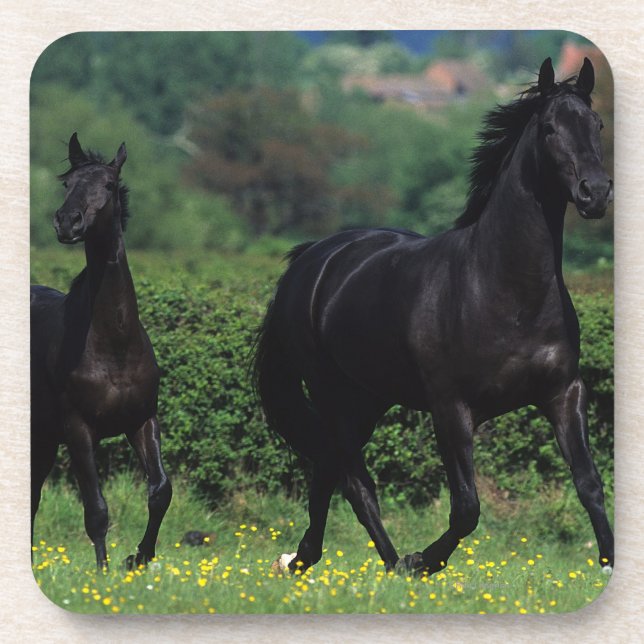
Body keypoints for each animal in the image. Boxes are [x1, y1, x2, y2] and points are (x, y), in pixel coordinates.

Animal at [31, 133, 172, 569]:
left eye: (108, 185)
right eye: (67, 183)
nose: (67, 222)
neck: (114, 347)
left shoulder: (142, 420)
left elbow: (161, 491)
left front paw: (137, 558)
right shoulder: (78, 430)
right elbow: (96, 509)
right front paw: (104, 573)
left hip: (44, 440)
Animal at [254, 57, 614, 576]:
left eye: (597, 124)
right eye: (549, 128)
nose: (595, 193)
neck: (505, 290)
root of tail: (310, 260)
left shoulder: (563, 393)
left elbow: (589, 483)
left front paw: (608, 564)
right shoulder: (451, 408)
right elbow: (466, 508)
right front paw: (423, 559)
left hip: (368, 399)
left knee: (330, 472)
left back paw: (315, 561)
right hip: (332, 394)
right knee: (353, 482)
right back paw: (382, 564)